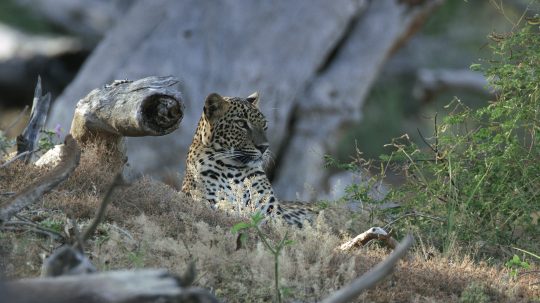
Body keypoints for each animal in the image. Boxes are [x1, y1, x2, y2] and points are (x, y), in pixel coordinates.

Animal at [182, 92, 314, 228]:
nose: (264, 147)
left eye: (264, 125)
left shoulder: (271, 212)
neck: (233, 169)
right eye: (241, 124)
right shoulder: (208, 202)